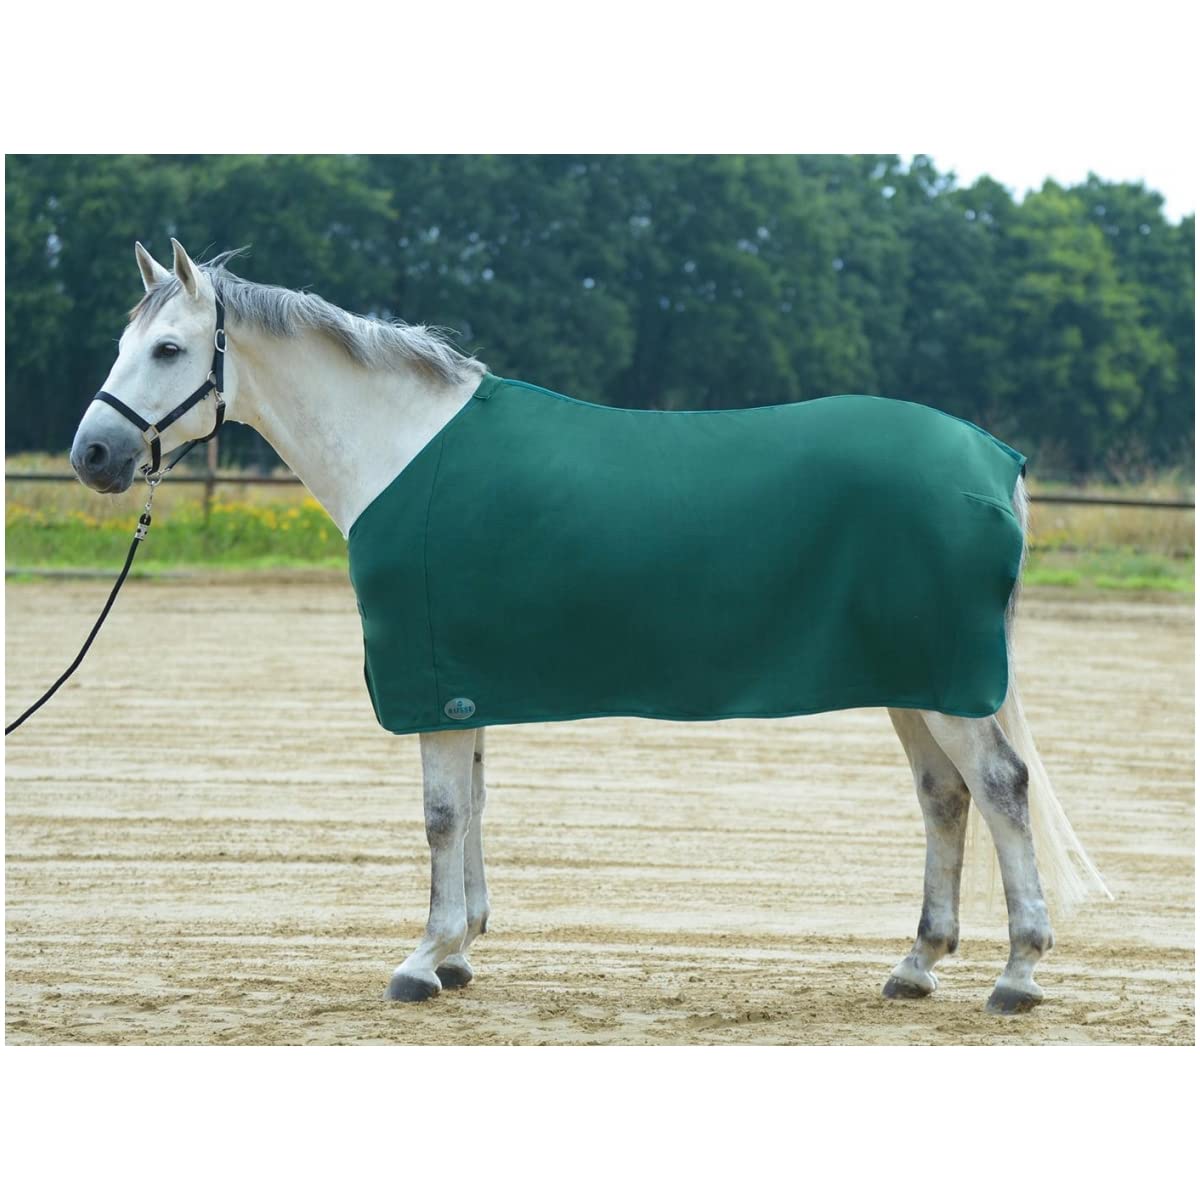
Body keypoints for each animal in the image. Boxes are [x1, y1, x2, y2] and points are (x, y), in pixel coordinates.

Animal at [68, 239, 1110, 1013]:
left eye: (168, 351)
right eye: (121, 343)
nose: (93, 454)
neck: (404, 450)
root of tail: (993, 457)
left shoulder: (430, 683)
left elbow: (440, 816)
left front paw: (421, 960)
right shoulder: (464, 682)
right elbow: (474, 806)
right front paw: (460, 952)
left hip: (950, 685)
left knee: (1002, 788)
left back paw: (1018, 972)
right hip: (913, 681)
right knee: (945, 798)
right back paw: (917, 964)